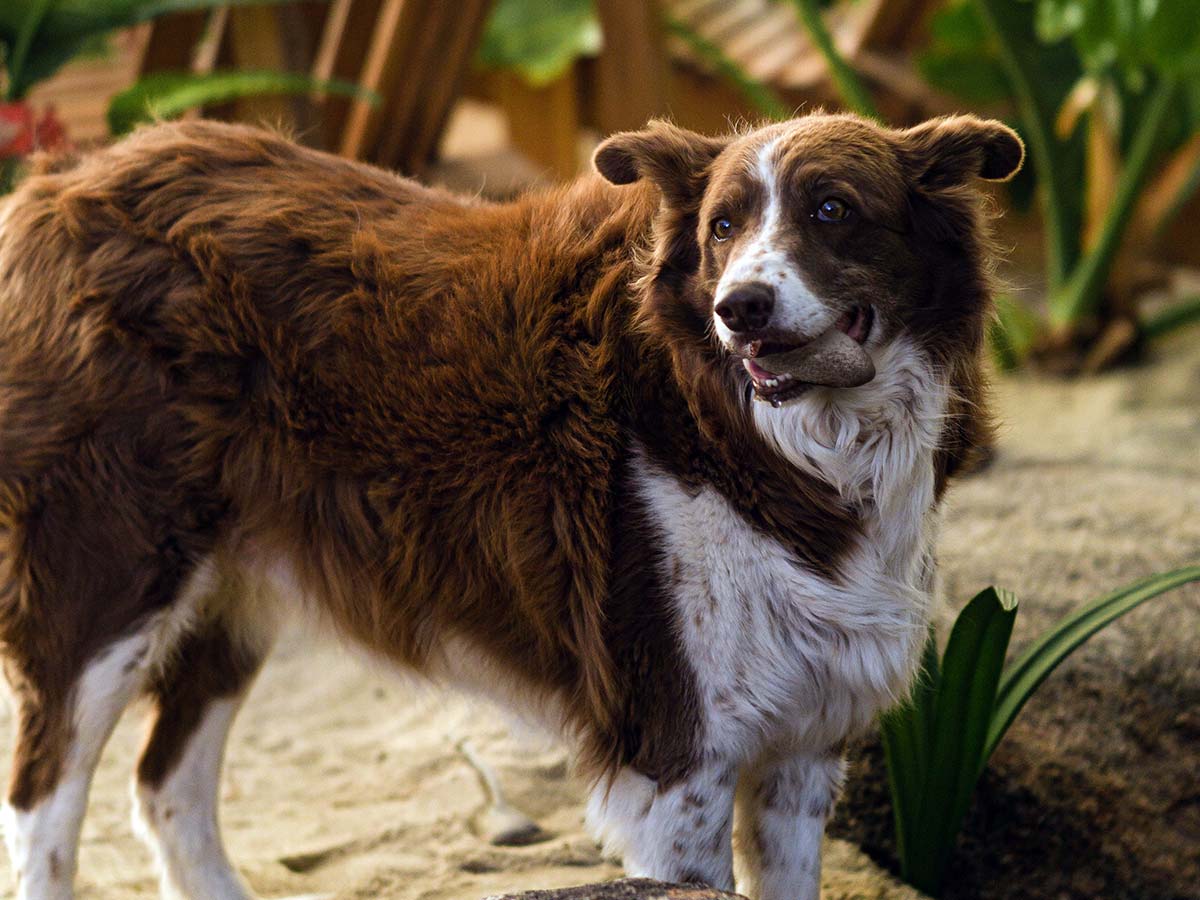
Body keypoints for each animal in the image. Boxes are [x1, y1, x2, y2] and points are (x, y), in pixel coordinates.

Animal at [0, 114, 1022, 900]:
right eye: (723, 227)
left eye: (833, 210)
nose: (740, 308)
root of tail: (66, 179)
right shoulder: (676, 751)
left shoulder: (803, 746)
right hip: (108, 575)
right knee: (43, 803)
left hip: (237, 583)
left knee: (164, 783)